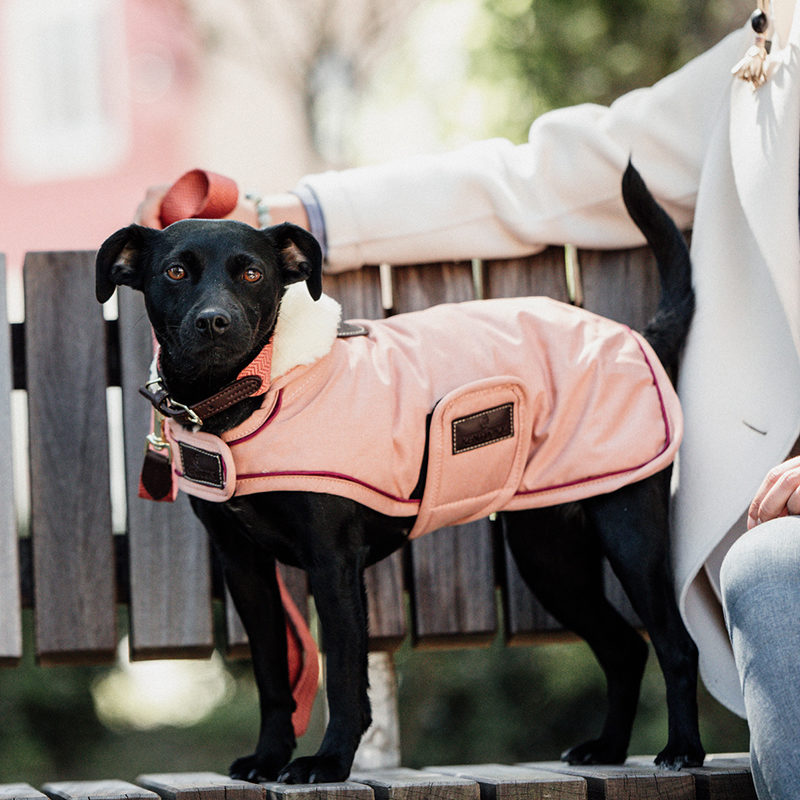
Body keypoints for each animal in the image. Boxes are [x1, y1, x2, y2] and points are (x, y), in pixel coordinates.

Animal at [97, 162, 704, 780]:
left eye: (251, 273)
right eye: (175, 271)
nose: (214, 321)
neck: (251, 396)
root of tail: (638, 337)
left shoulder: (333, 564)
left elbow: (344, 675)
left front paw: (330, 760)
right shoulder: (245, 569)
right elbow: (273, 676)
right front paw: (269, 756)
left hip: (629, 534)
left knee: (676, 646)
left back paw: (682, 749)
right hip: (548, 555)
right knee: (625, 648)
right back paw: (607, 748)